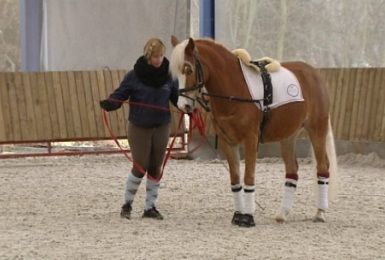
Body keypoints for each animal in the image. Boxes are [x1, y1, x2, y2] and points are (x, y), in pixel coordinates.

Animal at [170, 35, 338, 226]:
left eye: (188, 69)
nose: (183, 105)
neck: (234, 89)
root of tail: (314, 73)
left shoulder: (251, 139)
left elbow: (248, 177)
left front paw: (248, 217)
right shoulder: (228, 142)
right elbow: (235, 179)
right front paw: (238, 215)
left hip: (317, 129)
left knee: (323, 167)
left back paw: (320, 213)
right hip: (288, 135)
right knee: (292, 171)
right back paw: (283, 214)